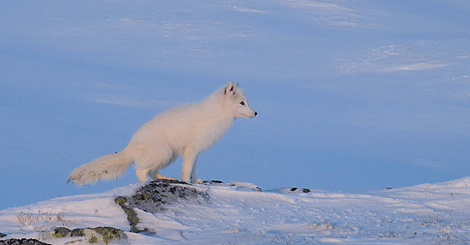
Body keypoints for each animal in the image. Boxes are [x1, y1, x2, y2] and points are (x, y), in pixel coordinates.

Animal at [69, 82, 258, 186]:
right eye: (242, 103)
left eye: (247, 102)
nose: (256, 113)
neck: (214, 115)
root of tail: (131, 144)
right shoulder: (191, 149)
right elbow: (186, 171)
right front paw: (187, 183)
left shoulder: (195, 151)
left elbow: (193, 170)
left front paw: (196, 181)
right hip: (164, 152)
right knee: (140, 170)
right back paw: (147, 182)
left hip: (170, 155)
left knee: (152, 171)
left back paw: (167, 178)